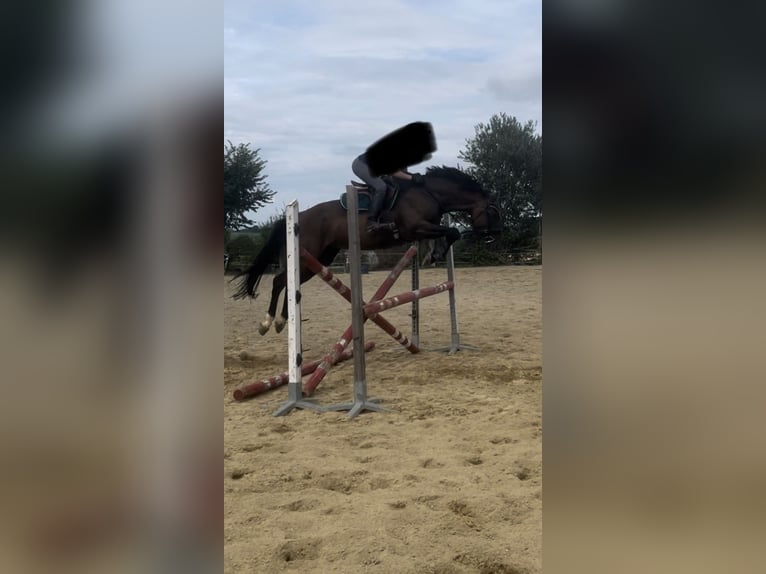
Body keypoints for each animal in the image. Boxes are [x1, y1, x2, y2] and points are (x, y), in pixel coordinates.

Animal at [231, 165, 500, 338]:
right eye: (493, 210)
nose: (493, 236)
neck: (429, 193)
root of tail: (300, 215)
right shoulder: (416, 227)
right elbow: (453, 231)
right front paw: (436, 254)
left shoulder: (421, 230)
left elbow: (448, 233)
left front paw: (434, 254)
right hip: (307, 256)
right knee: (279, 281)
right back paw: (269, 322)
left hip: (320, 259)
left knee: (289, 282)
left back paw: (280, 321)